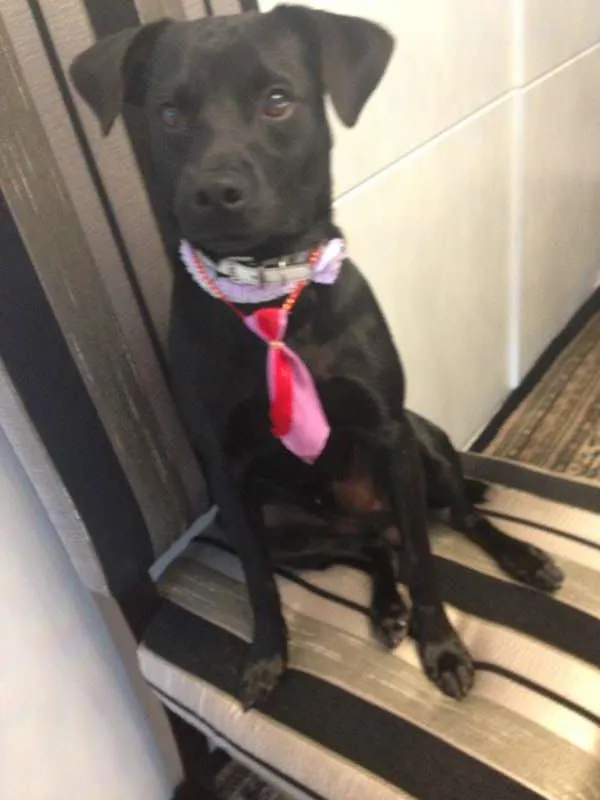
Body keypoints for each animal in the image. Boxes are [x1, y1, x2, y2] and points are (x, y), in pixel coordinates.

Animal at [71, 5, 564, 708]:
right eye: (170, 113)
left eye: (278, 100)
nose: (214, 191)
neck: (272, 298)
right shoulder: (227, 477)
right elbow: (258, 584)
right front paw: (266, 655)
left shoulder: (389, 433)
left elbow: (426, 563)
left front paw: (442, 646)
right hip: (287, 525)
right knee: (370, 547)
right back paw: (385, 607)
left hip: (425, 448)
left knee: (456, 518)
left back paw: (518, 558)